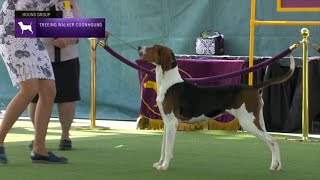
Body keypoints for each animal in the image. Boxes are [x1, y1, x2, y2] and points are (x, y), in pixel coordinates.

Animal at [138, 44, 296, 171]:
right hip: (257, 121)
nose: (139, 47)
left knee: (273, 141)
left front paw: (164, 166)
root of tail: (253, 87)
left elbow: (168, 149)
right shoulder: (166, 122)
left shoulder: (172, 123)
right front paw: (160, 163)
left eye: (153, 48)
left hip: (248, 122)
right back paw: (276, 165)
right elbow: (163, 147)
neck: (169, 83)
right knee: (271, 142)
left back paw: (275, 166)